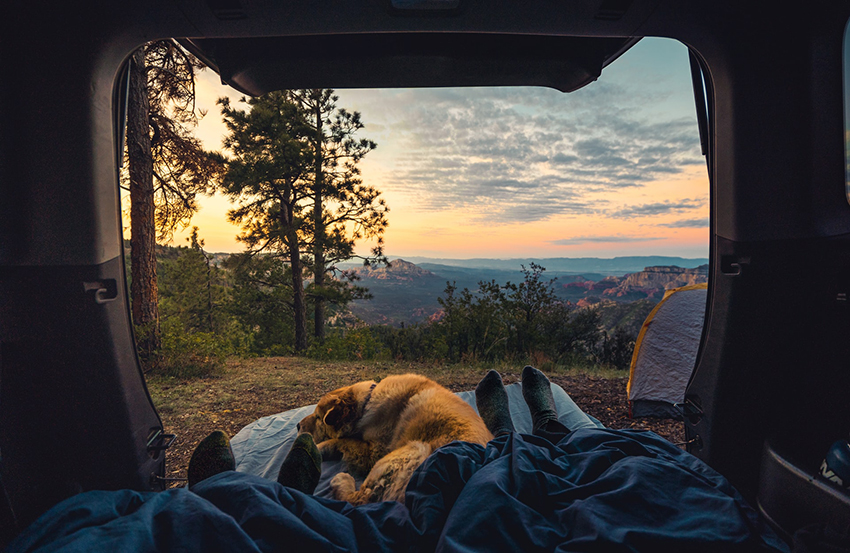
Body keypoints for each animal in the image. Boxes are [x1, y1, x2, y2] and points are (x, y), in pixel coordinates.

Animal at [298, 374, 490, 502]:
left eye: (318, 418)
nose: (298, 426)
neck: (367, 402)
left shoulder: (374, 452)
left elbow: (340, 441)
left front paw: (317, 447)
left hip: (412, 449)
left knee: (359, 500)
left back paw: (342, 481)